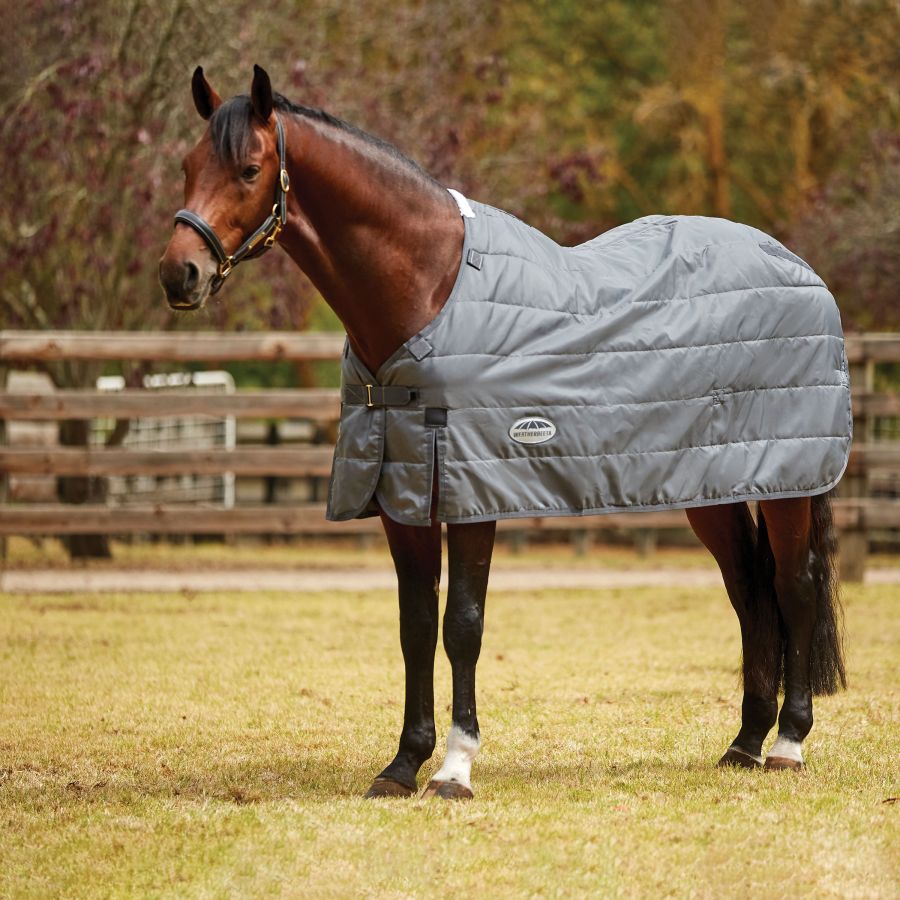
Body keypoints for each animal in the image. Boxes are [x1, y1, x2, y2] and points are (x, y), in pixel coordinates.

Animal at [159, 65, 847, 800]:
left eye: (249, 169)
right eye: (187, 166)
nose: (179, 273)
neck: (428, 290)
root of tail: (799, 267)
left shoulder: (472, 492)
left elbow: (462, 625)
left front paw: (455, 767)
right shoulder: (404, 496)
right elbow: (413, 625)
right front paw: (402, 765)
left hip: (791, 484)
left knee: (795, 587)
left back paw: (788, 743)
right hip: (714, 486)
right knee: (748, 591)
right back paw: (745, 741)